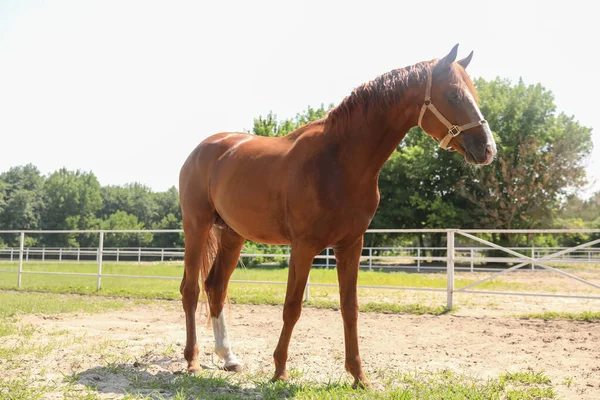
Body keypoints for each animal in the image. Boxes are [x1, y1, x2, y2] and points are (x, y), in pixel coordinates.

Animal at [178, 43, 496, 388]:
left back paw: (228, 358)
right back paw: (192, 361)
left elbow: (349, 308)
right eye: (453, 94)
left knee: (216, 287)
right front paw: (280, 370)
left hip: (232, 235)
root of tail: (203, 149)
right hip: (196, 227)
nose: (488, 149)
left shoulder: (351, 245)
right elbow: (292, 307)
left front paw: (358, 375)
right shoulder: (303, 246)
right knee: (191, 289)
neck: (340, 160)